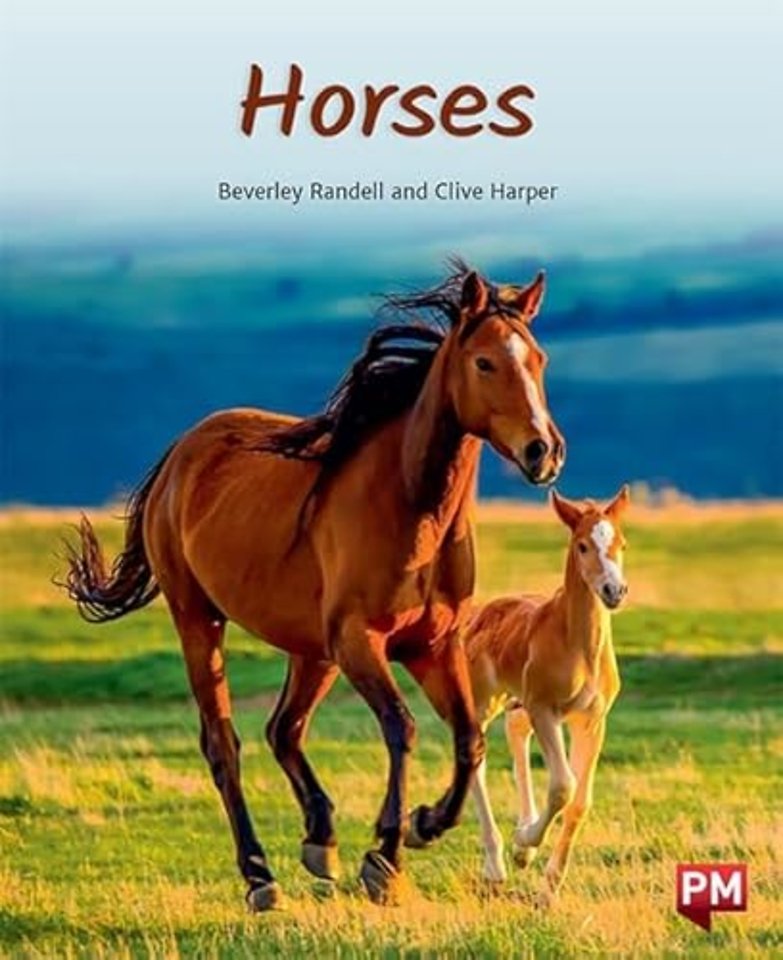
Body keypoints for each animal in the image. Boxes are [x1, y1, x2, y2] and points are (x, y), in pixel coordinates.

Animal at [62, 261, 566, 909]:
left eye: (538, 360)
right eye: (484, 362)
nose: (544, 451)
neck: (410, 507)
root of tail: (180, 455)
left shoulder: (432, 646)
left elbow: (468, 739)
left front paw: (424, 824)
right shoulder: (360, 642)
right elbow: (401, 728)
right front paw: (385, 858)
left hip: (311, 651)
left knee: (284, 729)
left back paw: (319, 840)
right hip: (200, 620)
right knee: (224, 744)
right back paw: (259, 876)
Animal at [464, 486, 629, 899]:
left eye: (621, 543)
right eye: (583, 546)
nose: (614, 591)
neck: (580, 645)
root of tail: (478, 615)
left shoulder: (592, 720)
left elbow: (580, 801)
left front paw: (549, 885)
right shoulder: (545, 709)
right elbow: (562, 786)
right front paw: (525, 842)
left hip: (517, 703)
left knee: (516, 736)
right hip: (484, 703)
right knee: (476, 760)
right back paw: (497, 865)